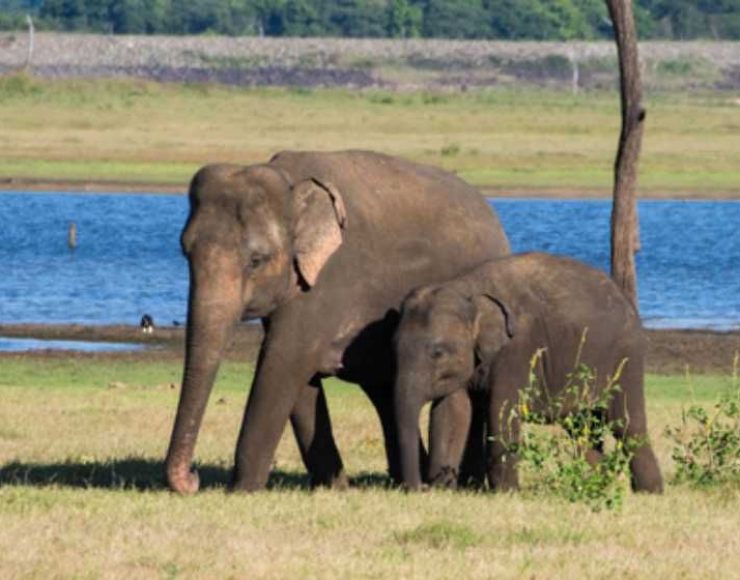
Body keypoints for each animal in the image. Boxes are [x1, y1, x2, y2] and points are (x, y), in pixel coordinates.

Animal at [165, 150, 510, 493]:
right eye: (184, 252)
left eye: (256, 260)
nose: (193, 478)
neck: (291, 183)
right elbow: (299, 380)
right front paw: (336, 487)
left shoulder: (327, 281)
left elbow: (283, 362)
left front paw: (242, 491)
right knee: (386, 392)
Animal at [393, 252, 664, 493]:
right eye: (394, 348)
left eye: (437, 353)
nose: (419, 488)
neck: (467, 289)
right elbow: (452, 411)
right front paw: (442, 490)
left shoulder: (517, 350)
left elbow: (501, 412)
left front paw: (506, 492)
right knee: (581, 427)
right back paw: (596, 485)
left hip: (626, 357)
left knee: (626, 422)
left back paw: (649, 491)